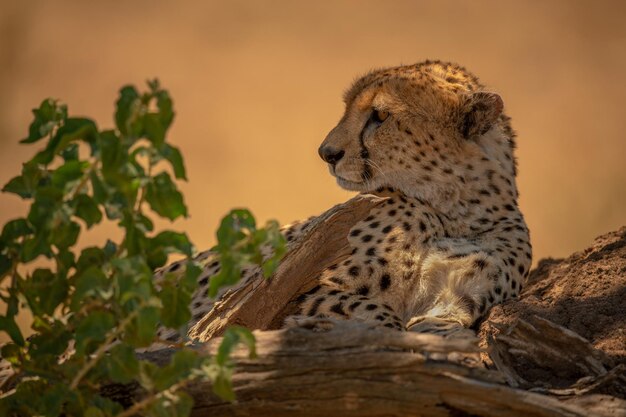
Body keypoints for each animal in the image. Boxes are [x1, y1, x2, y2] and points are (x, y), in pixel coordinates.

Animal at [156, 60, 532, 342]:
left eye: (380, 116)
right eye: (348, 108)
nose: (327, 153)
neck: (455, 208)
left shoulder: (463, 296)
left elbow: (442, 321)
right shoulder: (296, 291)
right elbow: (376, 313)